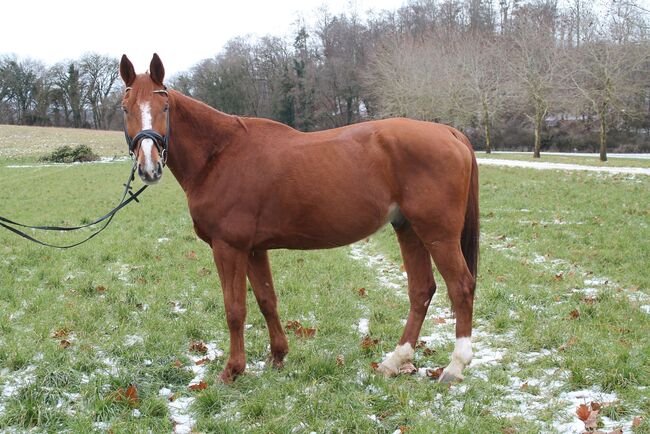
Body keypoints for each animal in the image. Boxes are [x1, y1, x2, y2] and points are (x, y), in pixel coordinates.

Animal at [119, 54, 478, 384]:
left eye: (164, 107)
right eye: (125, 108)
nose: (149, 166)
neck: (219, 154)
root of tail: (449, 132)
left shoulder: (228, 248)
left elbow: (235, 309)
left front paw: (232, 370)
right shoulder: (253, 249)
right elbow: (266, 300)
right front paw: (278, 356)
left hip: (437, 234)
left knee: (460, 287)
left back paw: (455, 366)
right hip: (409, 229)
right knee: (421, 290)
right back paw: (394, 361)